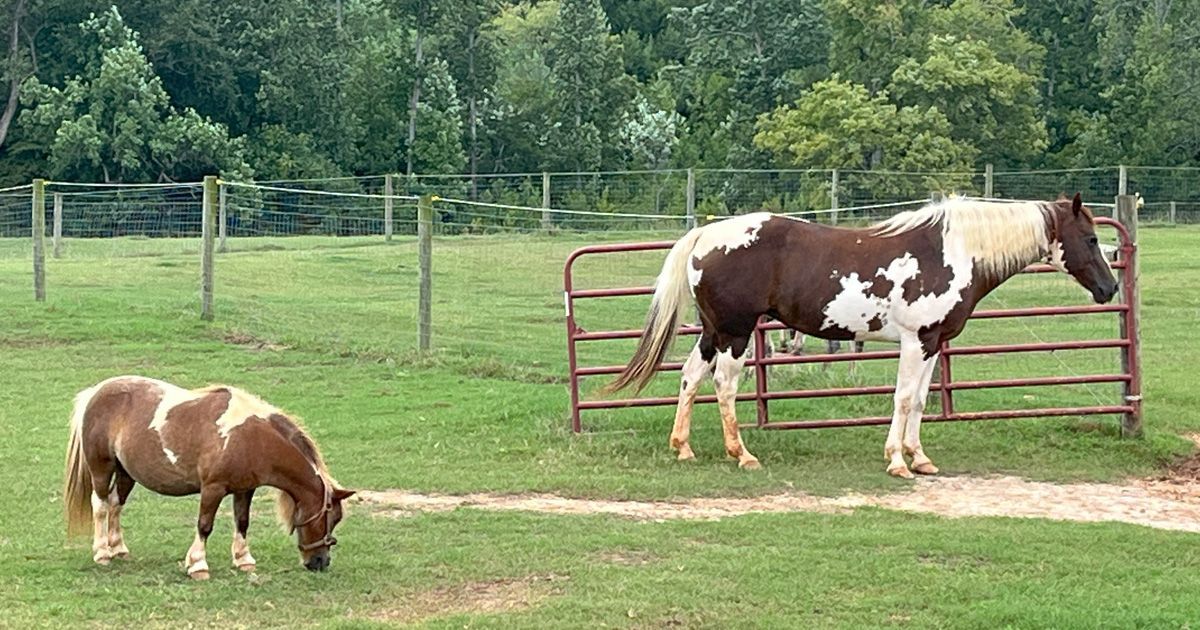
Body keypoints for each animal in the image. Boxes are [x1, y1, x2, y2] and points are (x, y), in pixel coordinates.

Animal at [63, 376, 355, 579]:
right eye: (328, 517)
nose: (320, 562)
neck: (252, 438)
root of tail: (95, 392)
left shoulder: (244, 489)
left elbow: (243, 522)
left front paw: (244, 560)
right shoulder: (213, 489)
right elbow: (204, 525)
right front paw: (198, 565)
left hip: (126, 474)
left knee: (115, 504)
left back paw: (118, 548)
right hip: (102, 468)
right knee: (101, 505)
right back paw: (102, 552)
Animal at [604, 194, 1117, 478]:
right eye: (1091, 239)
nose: (1110, 289)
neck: (951, 252)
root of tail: (703, 237)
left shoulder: (933, 343)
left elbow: (922, 400)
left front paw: (920, 457)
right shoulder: (915, 341)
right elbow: (904, 399)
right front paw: (897, 461)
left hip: (713, 330)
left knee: (691, 377)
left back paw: (683, 447)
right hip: (736, 331)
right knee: (725, 385)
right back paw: (742, 454)